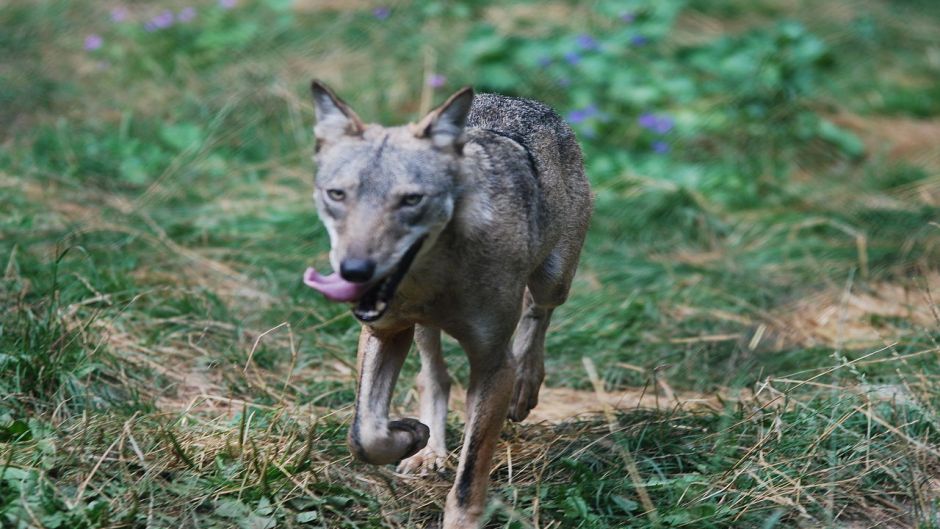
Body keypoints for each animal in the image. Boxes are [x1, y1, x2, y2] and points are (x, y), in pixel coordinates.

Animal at [304, 80, 592, 528]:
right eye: (337, 195)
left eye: (411, 200)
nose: (354, 271)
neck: (435, 277)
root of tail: (515, 99)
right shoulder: (383, 332)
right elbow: (365, 435)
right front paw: (411, 435)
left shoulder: (493, 364)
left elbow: (470, 476)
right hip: (423, 331)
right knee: (434, 378)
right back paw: (428, 452)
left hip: (554, 279)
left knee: (537, 313)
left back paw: (525, 386)